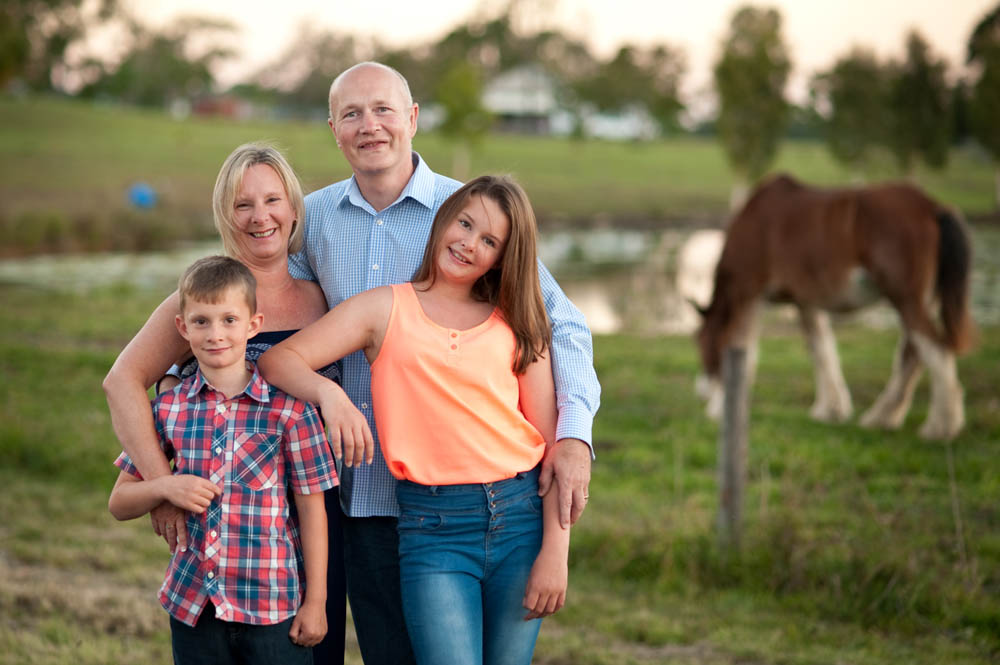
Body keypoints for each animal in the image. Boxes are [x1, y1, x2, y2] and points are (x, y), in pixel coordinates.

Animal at [692, 174, 972, 438]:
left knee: (936, 350)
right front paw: (832, 409)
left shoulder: (748, 293)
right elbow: (821, 348)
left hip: (905, 297)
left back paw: (940, 427)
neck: (752, 221)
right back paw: (882, 418)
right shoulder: (805, 301)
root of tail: (932, 207)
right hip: (921, 299)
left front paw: (720, 408)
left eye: (699, 343)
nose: (701, 388)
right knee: (913, 354)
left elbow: (742, 348)